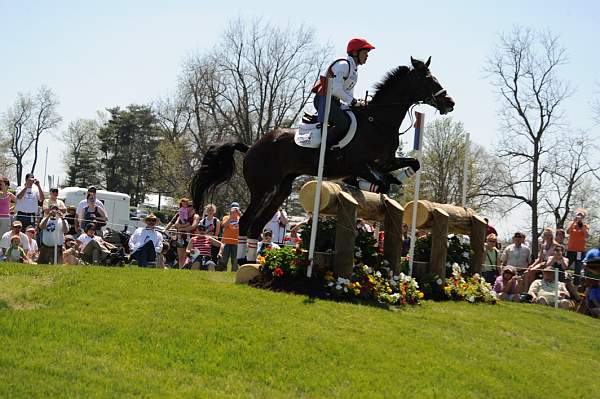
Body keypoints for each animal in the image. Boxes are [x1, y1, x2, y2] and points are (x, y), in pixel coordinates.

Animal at [192, 56, 454, 262]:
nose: (449, 103)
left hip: (280, 191)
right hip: (262, 189)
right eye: (429, 80)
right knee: (246, 223)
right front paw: (374, 185)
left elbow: (411, 164)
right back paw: (239, 264)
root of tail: (251, 147)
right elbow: (380, 180)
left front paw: (398, 178)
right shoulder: (359, 165)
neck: (377, 122)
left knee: (256, 226)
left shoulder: (385, 161)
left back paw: (250, 262)